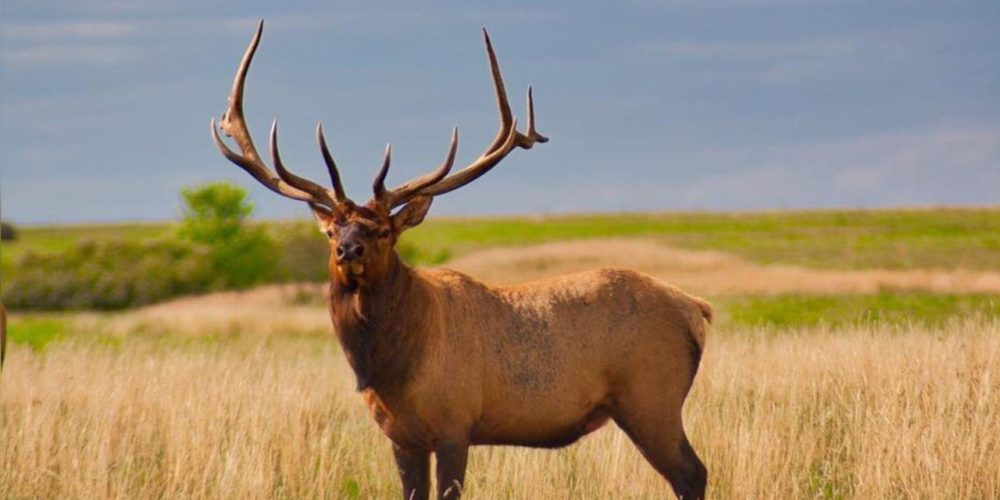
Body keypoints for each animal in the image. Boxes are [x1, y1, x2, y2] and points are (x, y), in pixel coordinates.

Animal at [211, 21, 712, 498]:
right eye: (333, 228)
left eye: (383, 231)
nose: (347, 250)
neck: (392, 368)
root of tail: (697, 309)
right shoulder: (402, 437)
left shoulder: (456, 424)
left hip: (652, 398)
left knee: (693, 473)